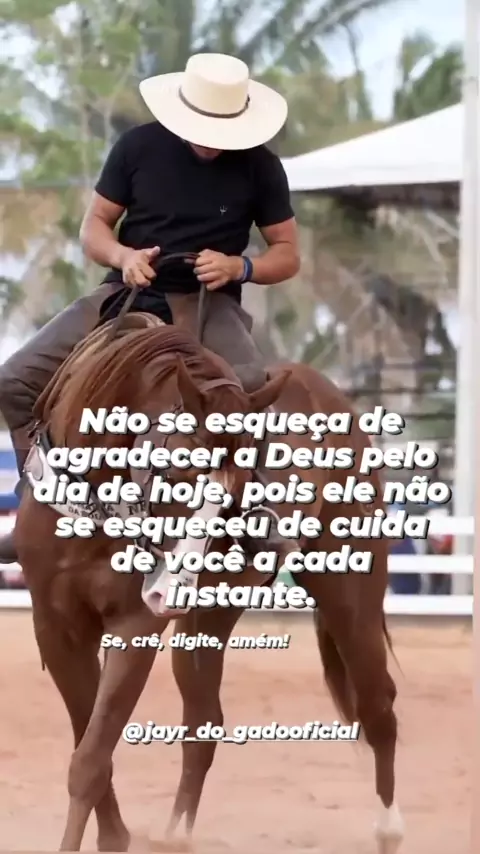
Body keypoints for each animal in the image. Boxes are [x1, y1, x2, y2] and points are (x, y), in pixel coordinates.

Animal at [15, 308, 403, 854]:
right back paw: (175, 834)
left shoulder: (135, 623)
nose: (172, 590)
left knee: (377, 705)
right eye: (176, 472)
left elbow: (90, 758)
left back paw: (389, 828)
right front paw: (114, 836)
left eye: (240, 488)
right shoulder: (55, 625)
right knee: (204, 718)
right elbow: (90, 743)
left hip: (350, 592)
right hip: (211, 615)